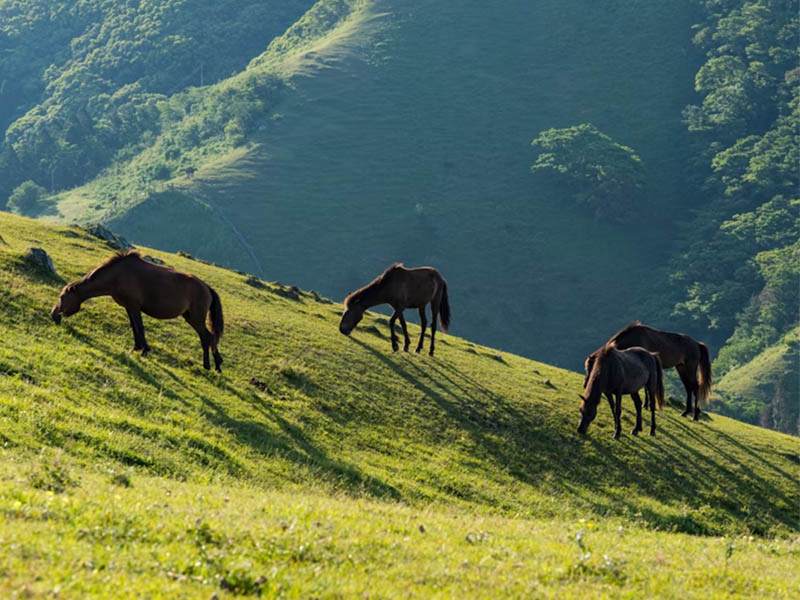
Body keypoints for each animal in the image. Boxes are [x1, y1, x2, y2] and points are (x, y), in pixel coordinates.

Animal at [49, 248, 225, 370]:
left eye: (62, 297)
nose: (53, 314)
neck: (117, 275)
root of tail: (207, 288)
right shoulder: (129, 307)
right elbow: (134, 327)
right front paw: (136, 348)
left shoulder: (134, 306)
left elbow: (140, 326)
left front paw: (145, 350)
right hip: (189, 317)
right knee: (208, 338)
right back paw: (216, 364)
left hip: (196, 318)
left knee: (207, 337)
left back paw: (210, 365)